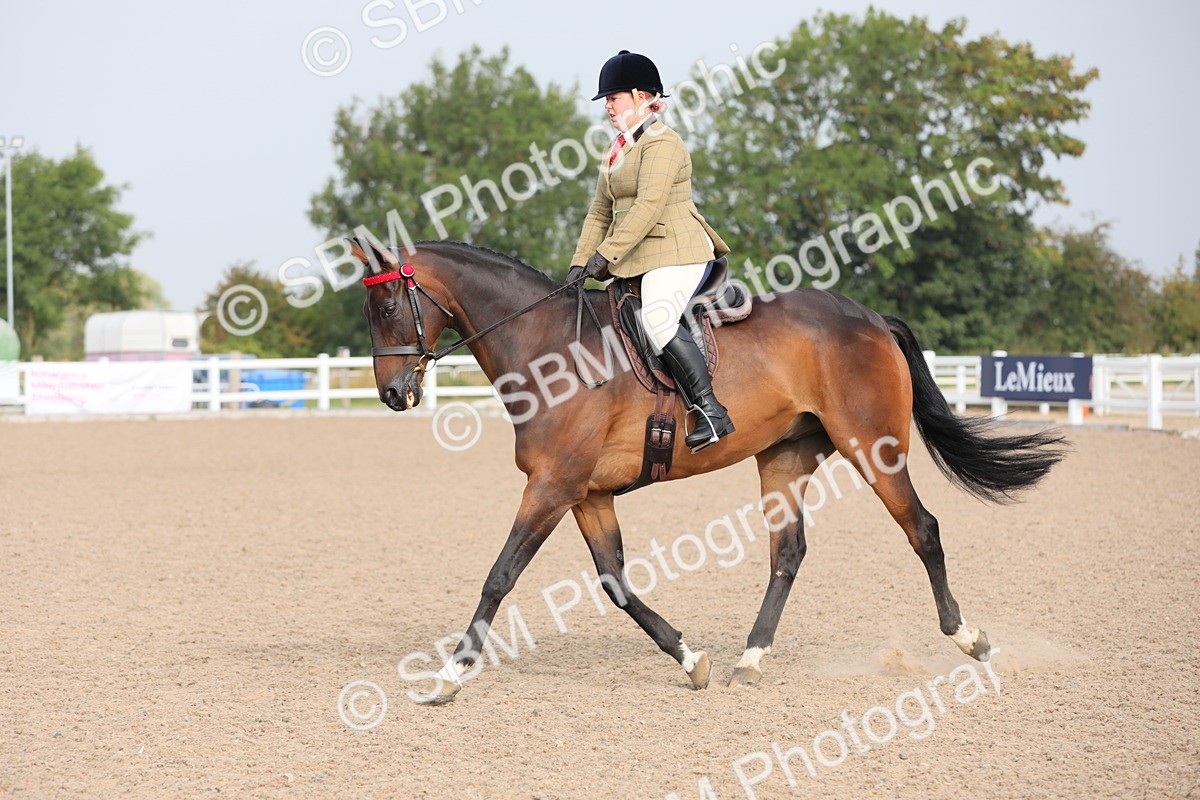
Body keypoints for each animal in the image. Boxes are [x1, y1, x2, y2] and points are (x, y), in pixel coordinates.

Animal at [352, 239, 1065, 704]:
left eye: (386, 309)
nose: (391, 395)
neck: (547, 348)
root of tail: (868, 317)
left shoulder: (551, 488)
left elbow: (500, 577)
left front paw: (449, 676)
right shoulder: (586, 494)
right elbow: (616, 583)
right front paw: (691, 659)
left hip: (874, 447)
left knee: (923, 528)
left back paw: (969, 639)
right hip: (783, 458)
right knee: (788, 552)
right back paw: (750, 661)